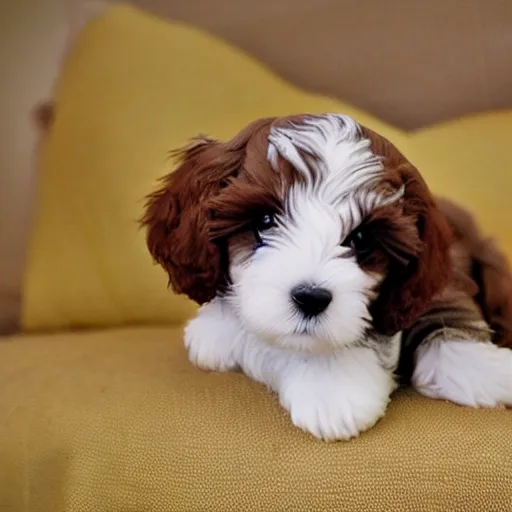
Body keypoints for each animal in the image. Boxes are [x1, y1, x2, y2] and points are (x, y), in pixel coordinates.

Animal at [141, 115, 512, 440]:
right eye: (265, 221)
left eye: (361, 238)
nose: (311, 298)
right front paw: (331, 381)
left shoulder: (433, 275)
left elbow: (444, 305)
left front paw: (484, 368)